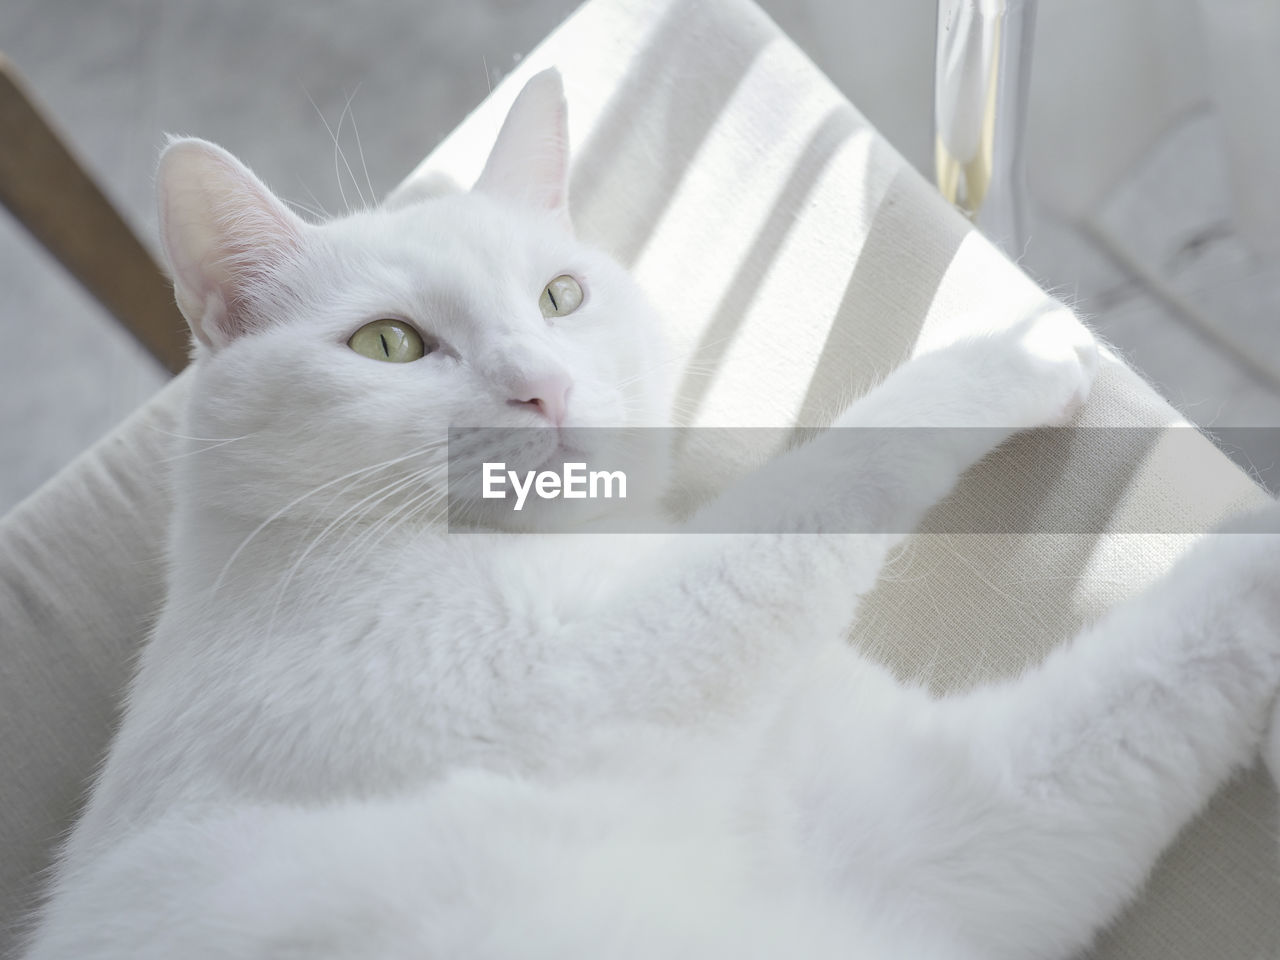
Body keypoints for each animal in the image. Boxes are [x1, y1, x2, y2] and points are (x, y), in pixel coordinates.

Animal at [17, 69, 1280, 960]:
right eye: (387, 344)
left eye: (559, 296)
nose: (544, 385)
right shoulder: (574, 680)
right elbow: (807, 497)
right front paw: (1006, 346)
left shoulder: (947, 832)